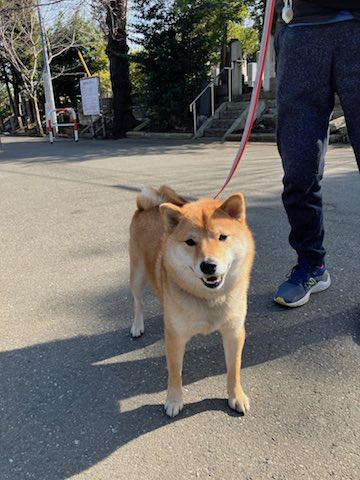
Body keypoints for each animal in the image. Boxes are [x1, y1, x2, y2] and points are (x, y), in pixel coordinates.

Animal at [129, 186, 253, 418]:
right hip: (137, 275)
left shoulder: (234, 332)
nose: (208, 265)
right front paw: (174, 400)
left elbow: (234, 369)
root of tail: (148, 206)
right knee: (138, 303)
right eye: (190, 242)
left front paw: (236, 396)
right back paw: (137, 326)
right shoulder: (175, 337)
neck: (209, 298)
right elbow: (174, 372)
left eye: (222, 237)